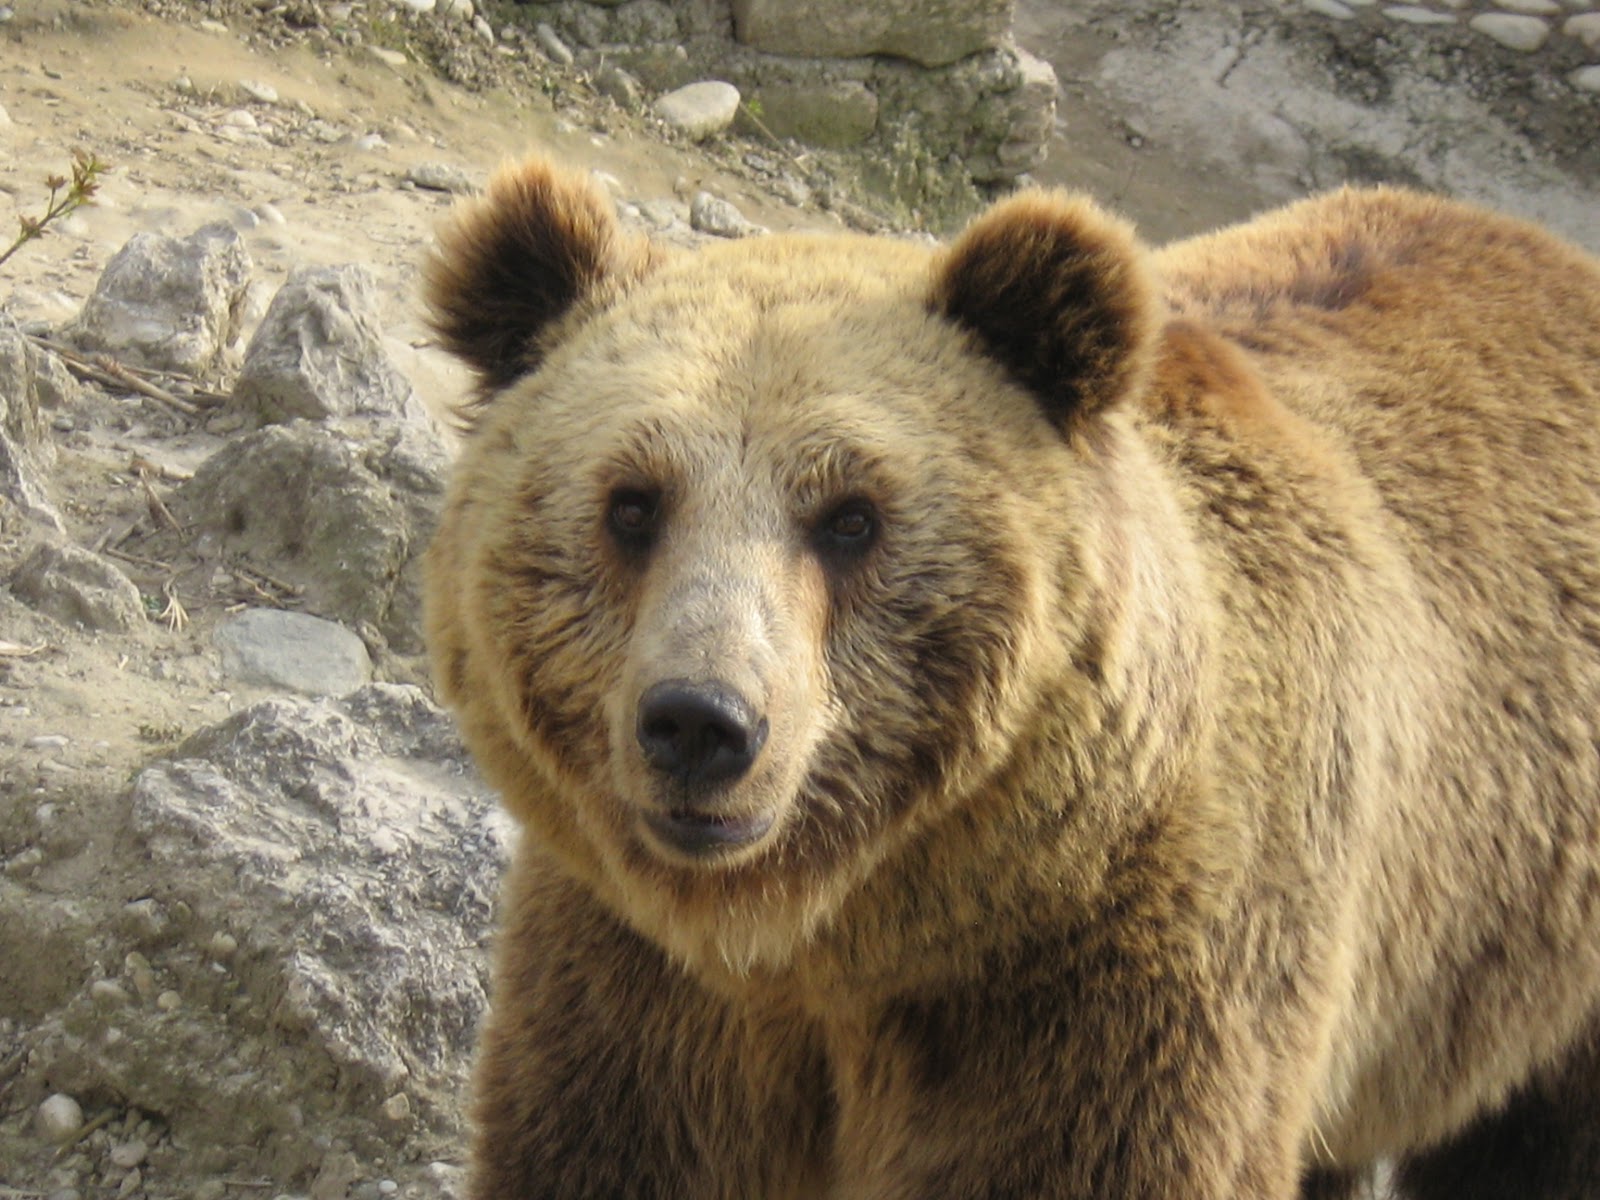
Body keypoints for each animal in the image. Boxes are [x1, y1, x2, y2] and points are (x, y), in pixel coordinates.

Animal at [422, 157, 1600, 1199]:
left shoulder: (1105, 990)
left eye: (851, 516)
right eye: (633, 502)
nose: (702, 723)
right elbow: (605, 1146)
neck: (831, 933)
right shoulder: (638, 985)